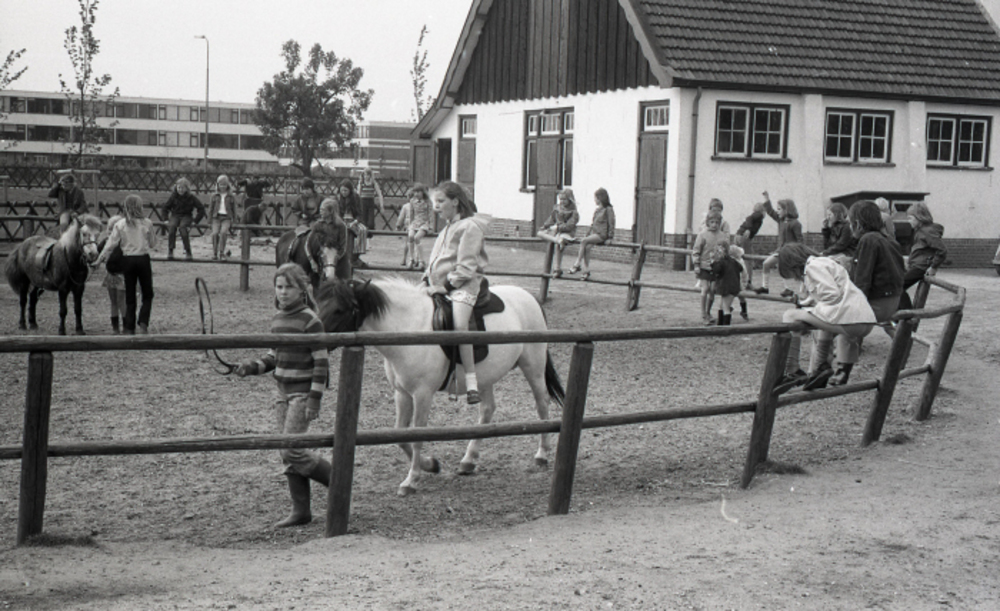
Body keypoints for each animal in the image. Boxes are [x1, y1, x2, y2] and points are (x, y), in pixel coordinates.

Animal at [315, 276, 566, 496]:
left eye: (339, 310)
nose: (315, 339)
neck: (409, 327)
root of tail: (529, 297)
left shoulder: (422, 394)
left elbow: (417, 436)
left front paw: (411, 480)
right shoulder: (402, 393)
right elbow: (400, 434)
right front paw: (431, 465)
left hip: (533, 366)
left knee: (542, 404)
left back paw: (541, 455)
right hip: (486, 377)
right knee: (487, 411)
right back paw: (468, 460)